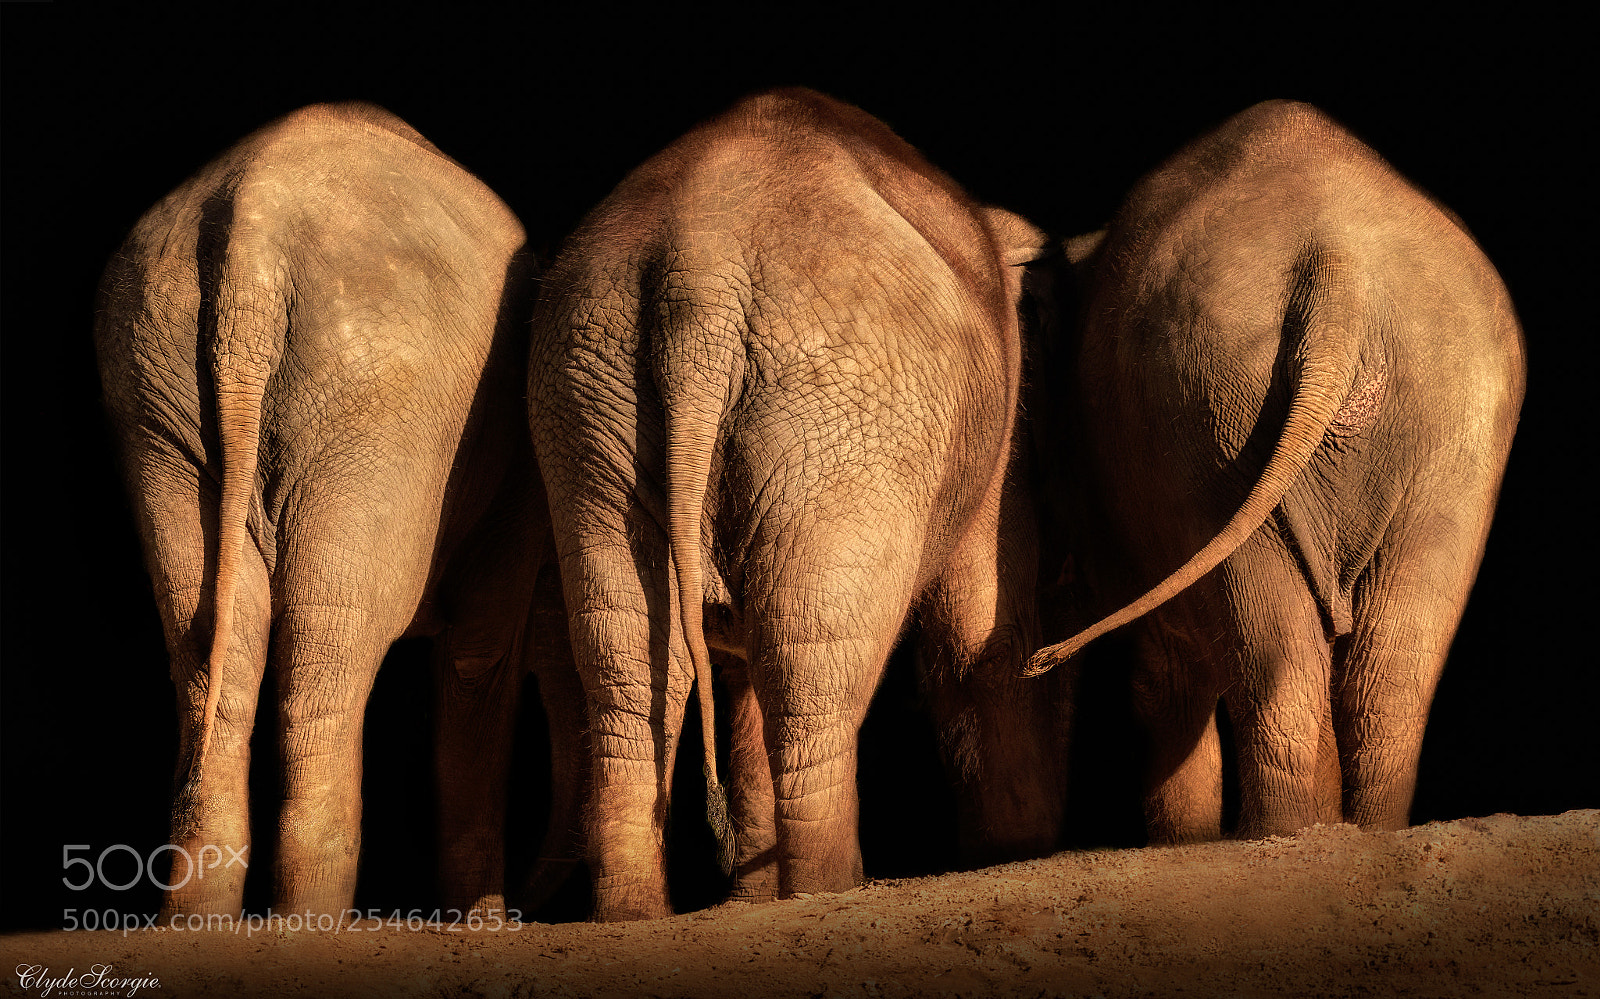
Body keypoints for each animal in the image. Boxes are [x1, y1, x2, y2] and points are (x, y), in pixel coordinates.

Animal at [94, 101, 583, 916]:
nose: (532, 902)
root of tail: (252, 248)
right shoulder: (514, 482)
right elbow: (482, 654)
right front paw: (486, 925)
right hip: (373, 403)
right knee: (330, 634)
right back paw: (311, 923)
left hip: (152, 387)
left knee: (213, 635)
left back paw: (197, 923)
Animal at [529, 87, 1066, 920]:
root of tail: (699, 280)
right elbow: (983, 620)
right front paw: (1015, 850)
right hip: (845, 421)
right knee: (814, 656)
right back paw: (830, 888)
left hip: (589, 398)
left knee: (628, 654)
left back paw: (638, 912)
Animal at [1025, 100, 1525, 843]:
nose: (1035, 658)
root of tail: (1335, 268)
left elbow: (1161, 681)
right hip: (1427, 424)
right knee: (1384, 662)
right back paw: (1352, 835)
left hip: (1210, 417)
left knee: (1276, 656)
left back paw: (1275, 838)